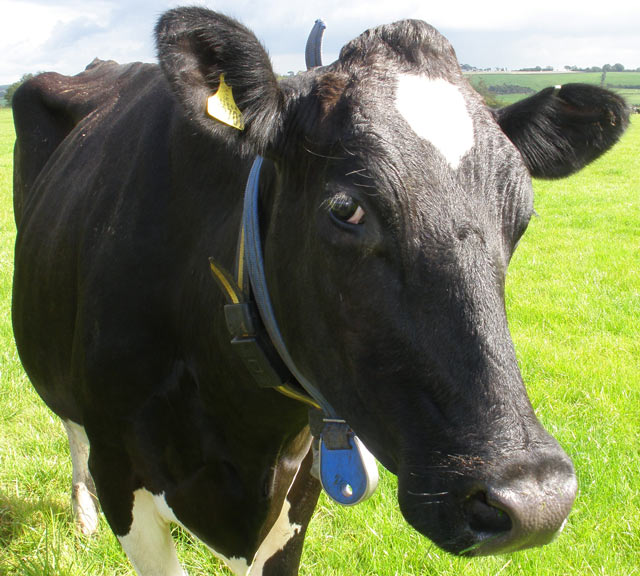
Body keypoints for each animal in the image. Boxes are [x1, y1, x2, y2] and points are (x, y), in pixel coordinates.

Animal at [12, 5, 628, 576]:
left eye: (522, 217)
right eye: (345, 207)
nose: (536, 499)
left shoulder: (298, 491)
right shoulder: (122, 476)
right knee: (69, 426)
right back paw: (83, 514)